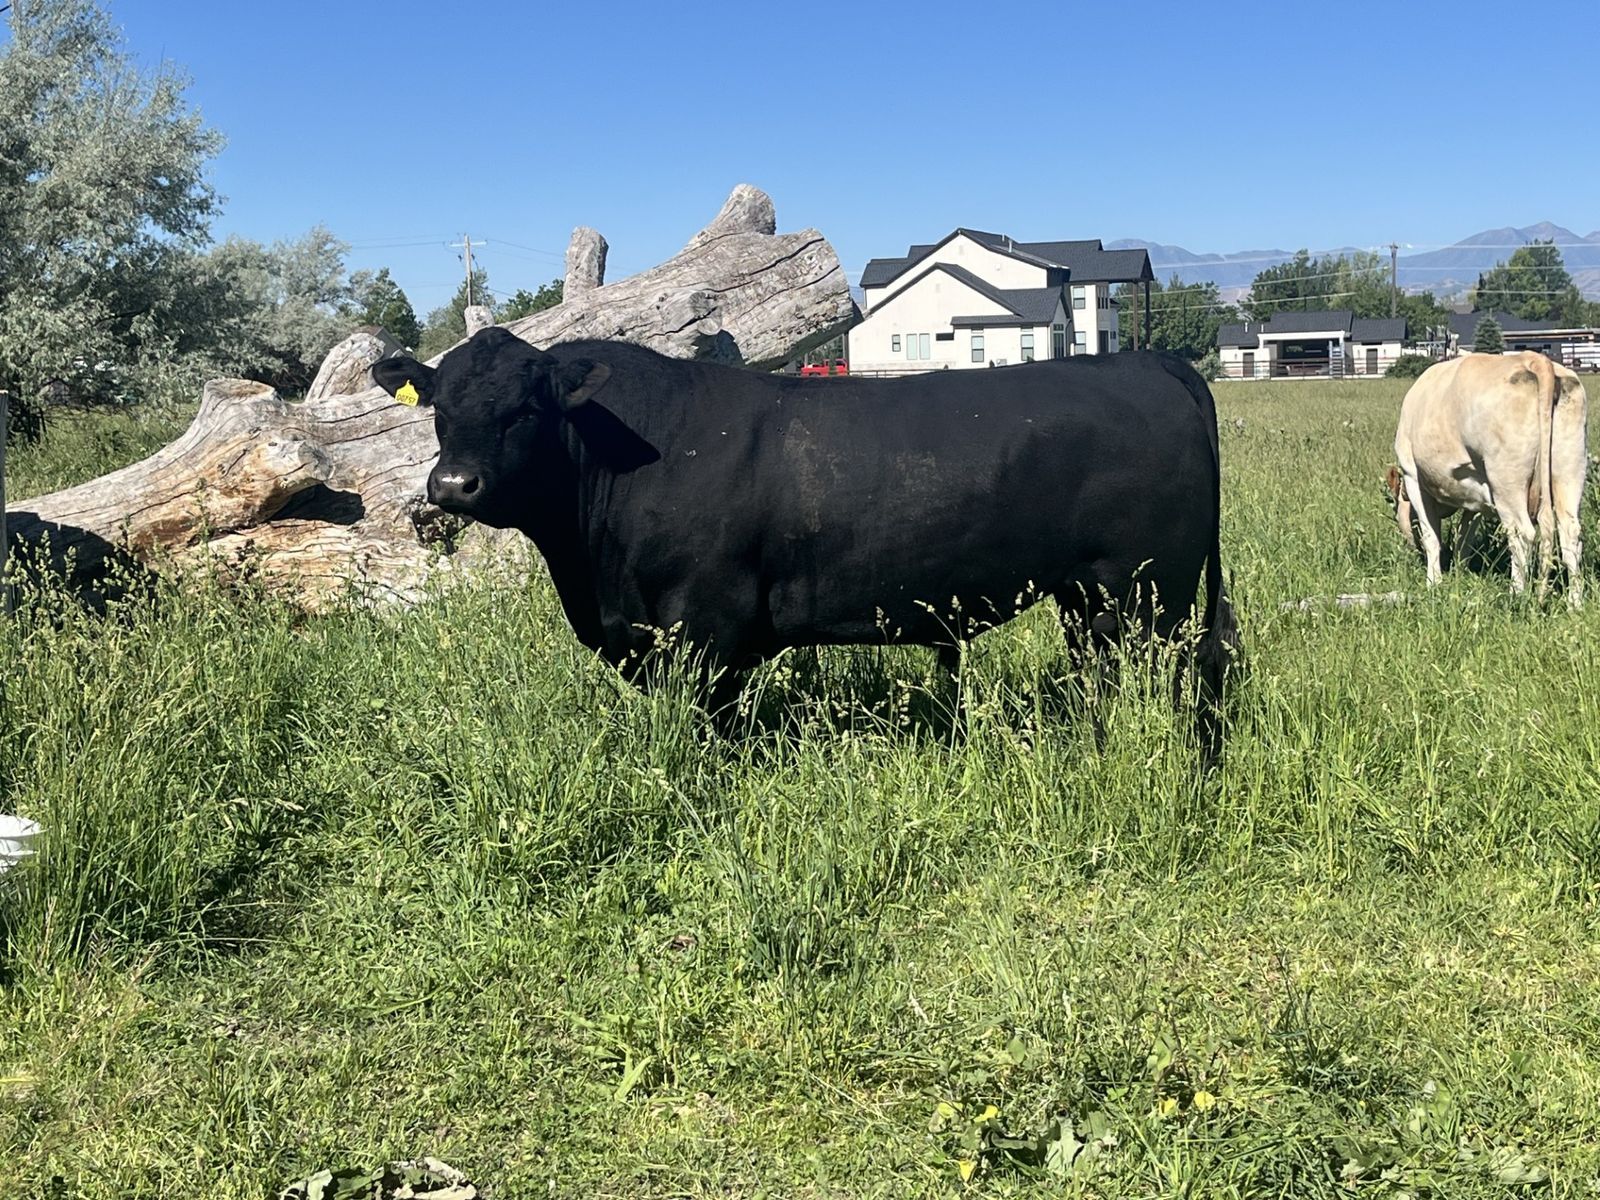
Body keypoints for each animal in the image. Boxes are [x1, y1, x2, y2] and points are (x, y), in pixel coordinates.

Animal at [372, 328, 1237, 757]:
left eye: (525, 408)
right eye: (439, 408)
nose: (451, 487)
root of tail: (1147, 363)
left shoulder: (701, 627)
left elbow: (706, 733)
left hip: (1150, 592)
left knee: (1162, 680)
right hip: (1090, 598)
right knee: (1103, 676)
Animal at [1388, 352, 1587, 606]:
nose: (1411, 549)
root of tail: (1533, 359)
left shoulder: (1413, 476)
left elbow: (1432, 536)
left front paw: (1434, 583)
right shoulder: (1475, 496)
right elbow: (1464, 538)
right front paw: (1458, 574)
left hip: (1506, 481)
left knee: (1522, 534)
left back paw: (1516, 596)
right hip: (1569, 470)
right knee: (1570, 532)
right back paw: (1575, 602)